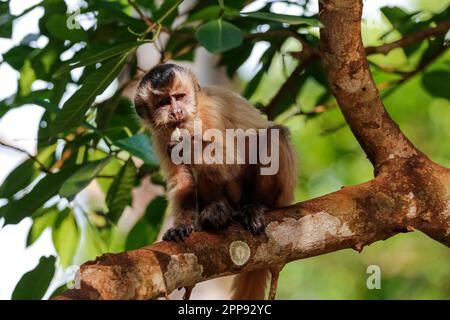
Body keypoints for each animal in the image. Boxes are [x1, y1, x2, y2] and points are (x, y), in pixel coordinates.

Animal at [132, 63, 298, 300]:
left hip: (282, 195)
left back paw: (258, 206)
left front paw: (187, 147)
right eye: (164, 102)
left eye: (179, 97)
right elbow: (182, 181)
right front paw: (181, 226)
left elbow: (232, 160)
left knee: (273, 135)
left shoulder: (211, 111)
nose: (176, 111)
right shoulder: (160, 136)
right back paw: (217, 214)